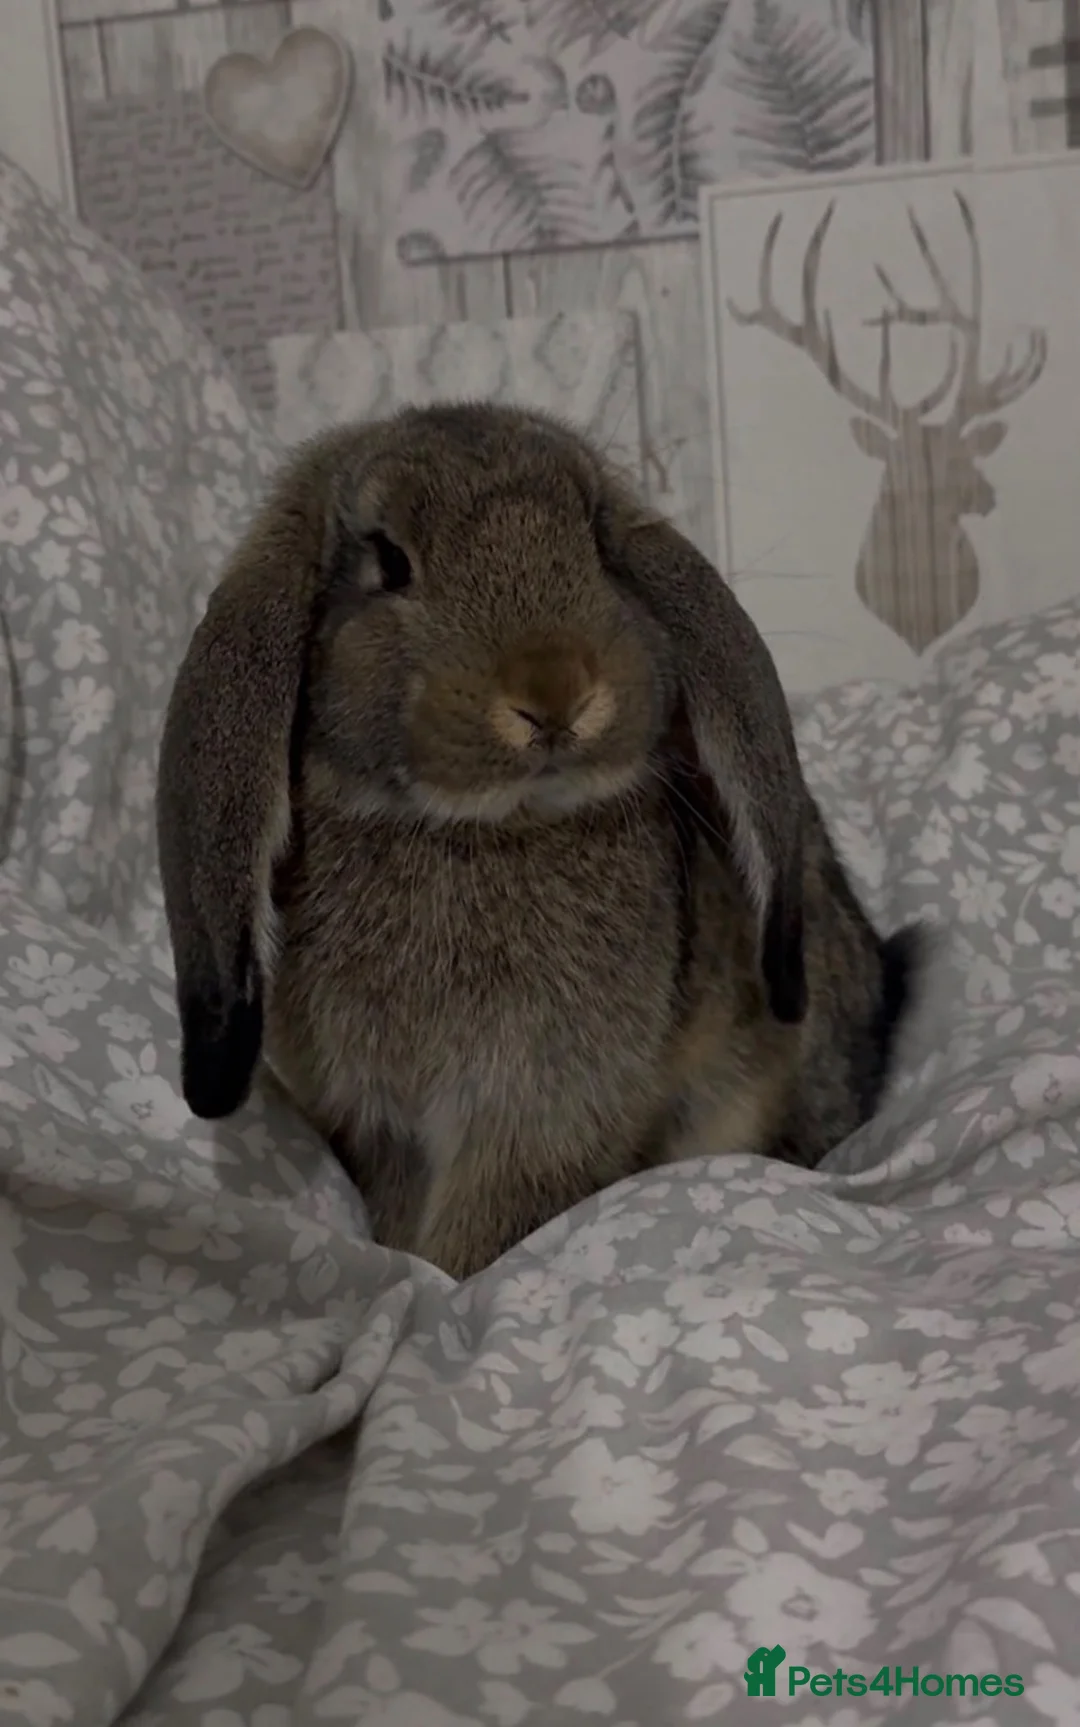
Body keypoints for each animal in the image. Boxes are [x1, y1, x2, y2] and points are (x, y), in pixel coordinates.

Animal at [156, 401, 921, 1281]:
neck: (484, 827)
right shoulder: (381, 1121)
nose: (554, 691)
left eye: (596, 543)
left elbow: (491, 1216)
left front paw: (447, 1280)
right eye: (389, 560)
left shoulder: (540, 1108)